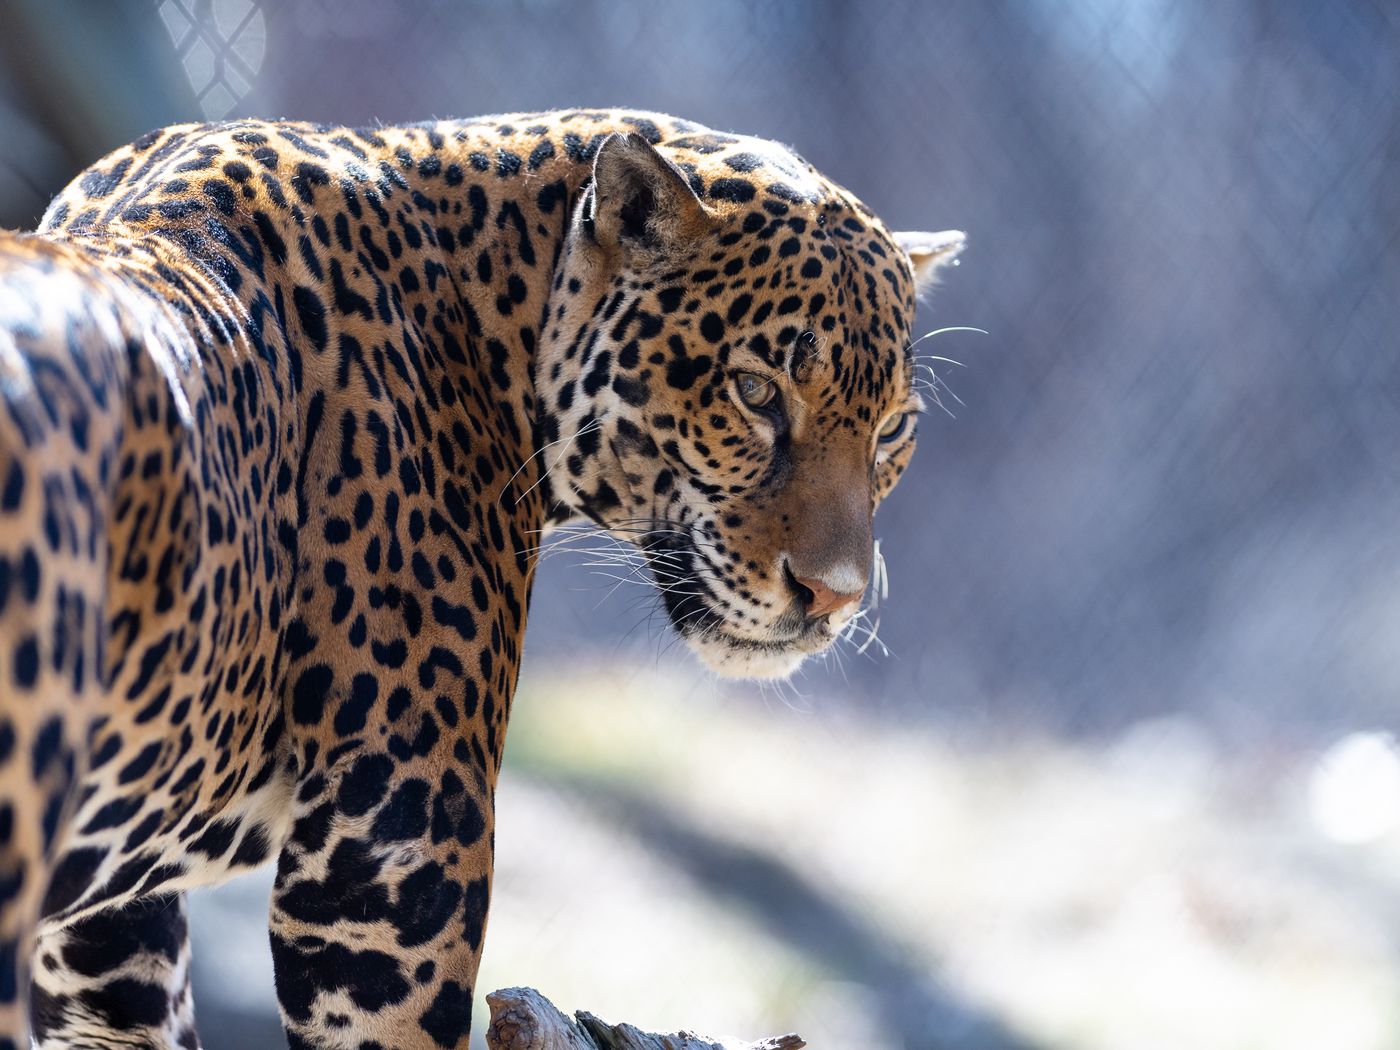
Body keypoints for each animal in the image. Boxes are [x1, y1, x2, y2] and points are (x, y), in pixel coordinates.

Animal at [0, 107, 964, 1048]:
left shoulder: (108, 950)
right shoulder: (389, 866)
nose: (834, 595)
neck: (502, 308)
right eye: (756, 392)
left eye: (891, 430)